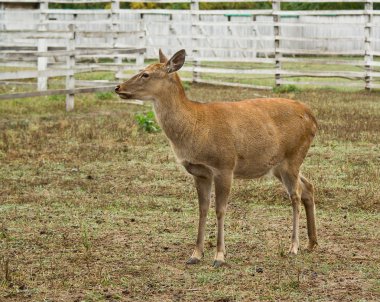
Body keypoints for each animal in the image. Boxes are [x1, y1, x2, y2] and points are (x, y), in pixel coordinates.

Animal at [115, 50, 318, 268]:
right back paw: (312, 243)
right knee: (308, 186)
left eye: (145, 74)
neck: (196, 126)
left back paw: (294, 246)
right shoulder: (200, 172)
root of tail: (313, 118)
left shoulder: (225, 165)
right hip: (280, 165)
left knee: (296, 194)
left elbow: (220, 210)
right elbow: (202, 209)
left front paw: (219, 256)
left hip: (293, 155)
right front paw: (195, 254)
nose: (118, 87)